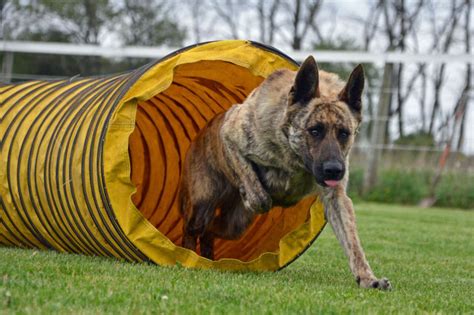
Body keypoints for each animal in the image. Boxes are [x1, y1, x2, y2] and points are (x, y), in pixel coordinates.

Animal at [180, 56, 390, 292]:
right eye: (314, 130)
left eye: (344, 133)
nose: (334, 170)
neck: (294, 157)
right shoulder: (230, 135)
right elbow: (259, 193)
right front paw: (254, 193)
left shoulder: (337, 198)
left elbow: (353, 242)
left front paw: (367, 277)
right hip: (202, 206)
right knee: (192, 230)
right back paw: (187, 255)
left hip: (233, 226)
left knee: (210, 232)